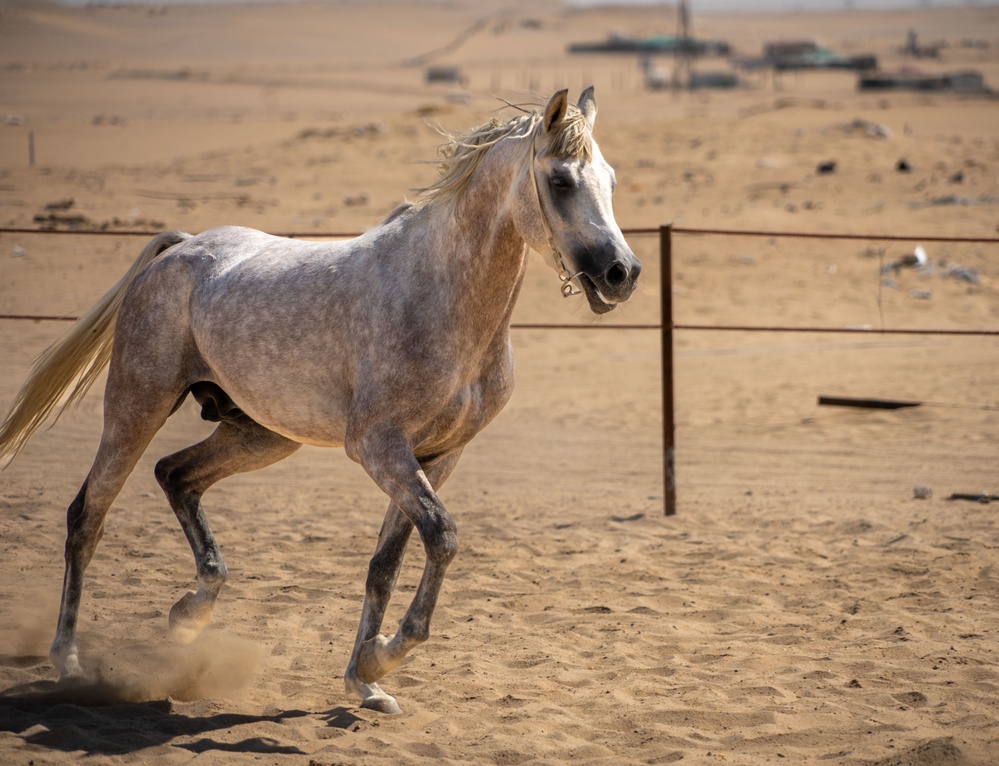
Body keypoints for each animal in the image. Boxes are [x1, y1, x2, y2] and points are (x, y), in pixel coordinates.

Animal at [0, 88, 640, 712]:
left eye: (610, 179)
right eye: (561, 180)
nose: (622, 273)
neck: (441, 296)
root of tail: (179, 251)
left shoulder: (438, 456)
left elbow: (387, 564)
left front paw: (365, 679)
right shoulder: (380, 448)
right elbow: (443, 537)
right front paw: (381, 659)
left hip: (259, 435)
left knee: (175, 475)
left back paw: (189, 615)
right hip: (137, 406)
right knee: (87, 516)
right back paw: (69, 661)